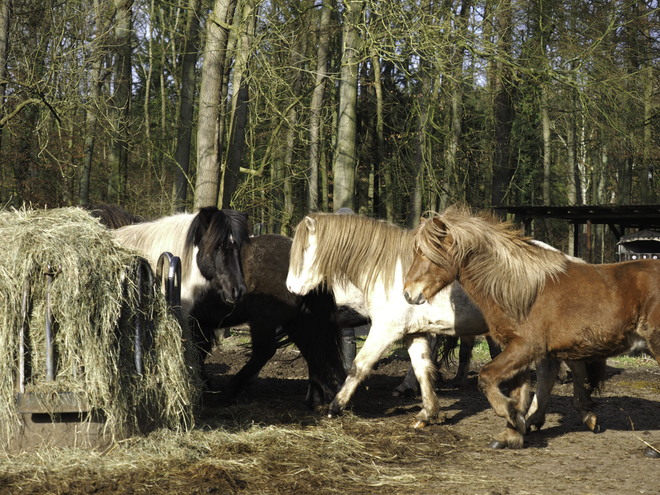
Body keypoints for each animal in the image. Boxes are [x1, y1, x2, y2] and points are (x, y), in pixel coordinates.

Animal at [402, 206, 660, 458]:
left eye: (425, 253)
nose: (408, 293)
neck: (521, 290)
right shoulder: (519, 351)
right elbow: (519, 392)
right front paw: (512, 433)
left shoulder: (525, 346)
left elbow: (487, 378)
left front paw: (511, 415)